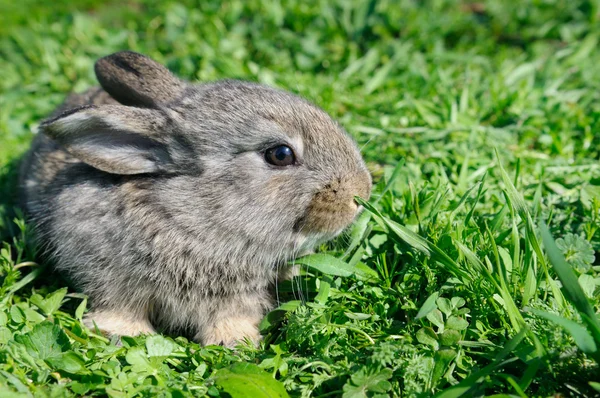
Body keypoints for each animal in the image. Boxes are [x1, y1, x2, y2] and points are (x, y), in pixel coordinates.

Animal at [18, 51, 370, 346]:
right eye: (280, 155)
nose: (360, 194)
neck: (193, 216)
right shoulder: (107, 278)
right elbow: (118, 307)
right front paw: (123, 333)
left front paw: (234, 341)